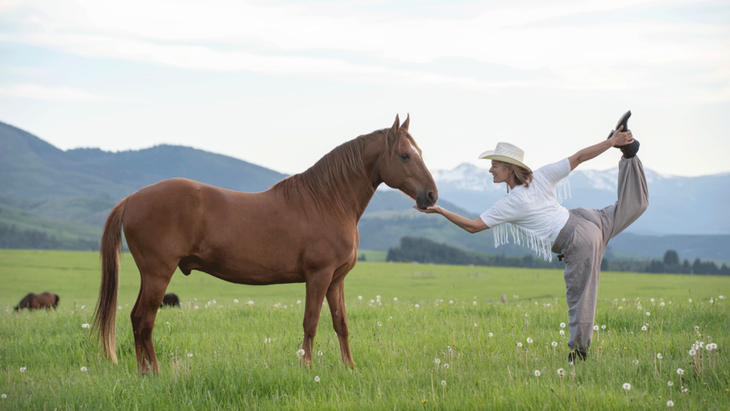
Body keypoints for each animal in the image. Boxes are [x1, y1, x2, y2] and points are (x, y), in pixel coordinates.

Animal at [90, 114, 432, 374]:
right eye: (405, 155)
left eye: (419, 153)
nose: (431, 195)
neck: (327, 202)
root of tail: (132, 199)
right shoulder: (318, 276)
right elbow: (311, 323)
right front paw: (307, 368)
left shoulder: (336, 280)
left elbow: (341, 323)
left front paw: (350, 367)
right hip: (158, 274)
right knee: (145, 321)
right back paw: (156, 374)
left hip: (151, 276)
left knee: (136, 319)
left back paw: (143, 373)